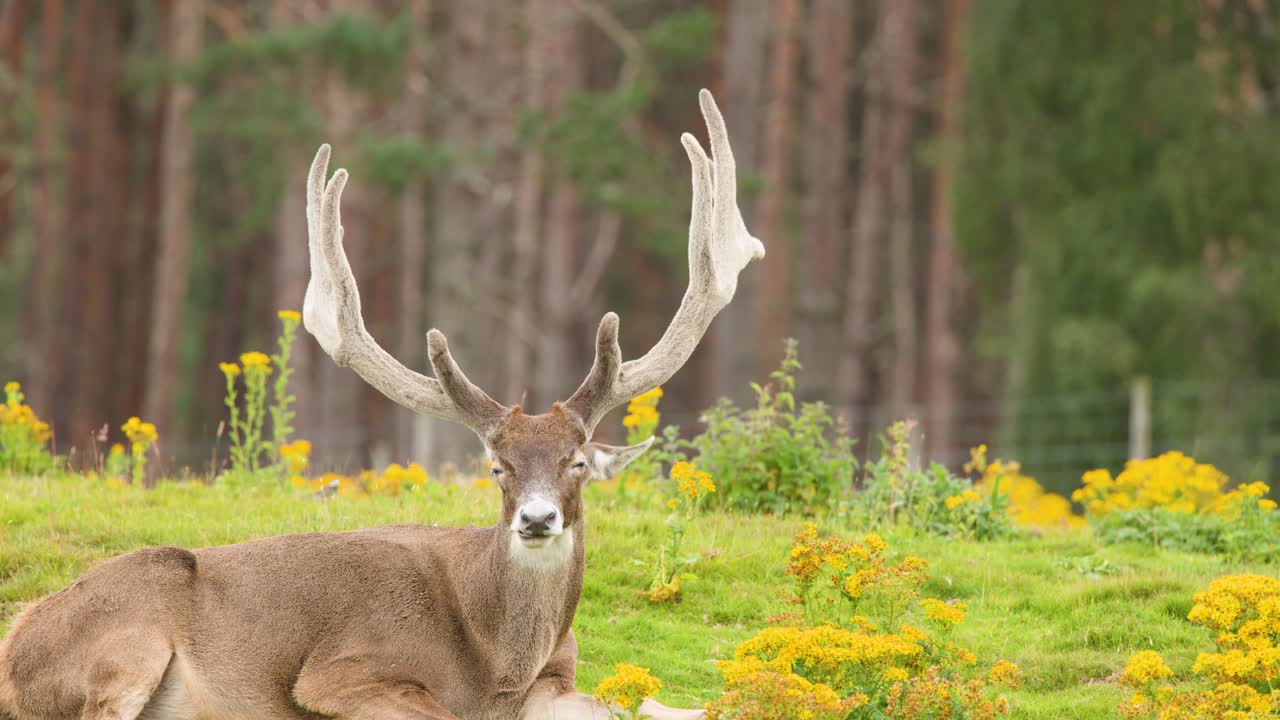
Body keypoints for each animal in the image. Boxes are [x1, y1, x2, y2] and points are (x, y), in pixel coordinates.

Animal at [0, 89, 763, 720]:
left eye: (576, 461)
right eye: (497, 467)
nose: (537, 519)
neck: (497, 665)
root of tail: (15, 649)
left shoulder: (557, 679)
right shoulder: (338, 671)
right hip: (127, 635)